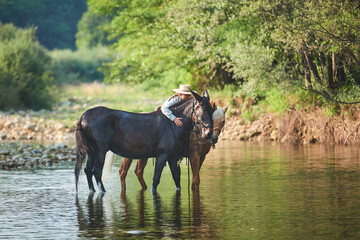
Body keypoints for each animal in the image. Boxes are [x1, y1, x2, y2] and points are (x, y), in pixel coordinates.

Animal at [74, 89, 212, 193]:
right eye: (203, 109)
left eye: (211, 109)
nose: (208, 134)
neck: (173, 123)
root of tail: (83, 116)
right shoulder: (162, 156)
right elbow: (156, 179)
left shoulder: (172, 157)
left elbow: (176, 178)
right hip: (100, 151)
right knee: (97, 172)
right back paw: (102, 191)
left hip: (92, 151)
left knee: (87, 171)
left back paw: (92, 191)